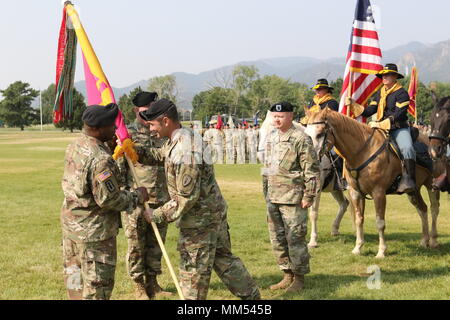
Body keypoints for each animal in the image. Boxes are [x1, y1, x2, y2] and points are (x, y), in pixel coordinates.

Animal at [256, 110, 348, 248]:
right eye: (260, 132)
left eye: (273, 131)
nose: (261, 156)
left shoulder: (315, 189)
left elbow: (313, 213)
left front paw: (313, 241)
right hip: (335, 189)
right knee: (344, 204)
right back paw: (335, 229)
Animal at [304, 107, 442, 258]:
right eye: (306, 134)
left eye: (319, 134)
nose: (310, 158)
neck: (363, 151)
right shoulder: (356, 192)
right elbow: (359, 219)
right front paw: (358, 248)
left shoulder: (378, 192)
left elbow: (380, 222)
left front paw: (381, 251)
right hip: (413, 190)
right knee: (422, 209)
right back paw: (424, 241)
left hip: (432, 185)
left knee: (434, 209)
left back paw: (434, 241)